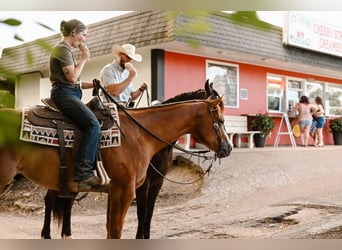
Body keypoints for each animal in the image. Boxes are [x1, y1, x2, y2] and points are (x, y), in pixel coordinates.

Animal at [0, 88, 231, 238]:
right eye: (220, 121)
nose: (228, 148)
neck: (139, 134)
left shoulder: (120, 190)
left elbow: (120, 226)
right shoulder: (126, 189)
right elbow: (120, 229)